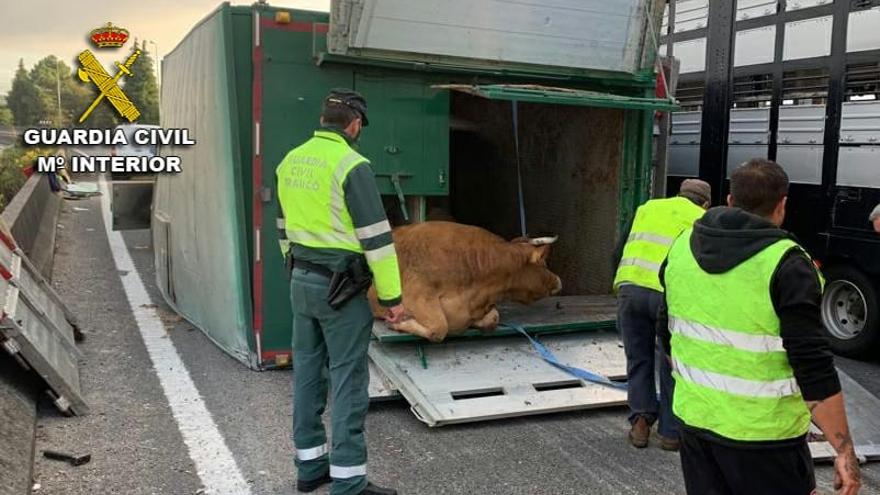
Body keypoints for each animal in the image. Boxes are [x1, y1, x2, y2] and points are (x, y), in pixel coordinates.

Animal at [366, 223, 560, 342]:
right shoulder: (415, 294)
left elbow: (493, 319)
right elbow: (440, 327)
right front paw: (397, 324)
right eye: (543, 262)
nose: (558, 281)